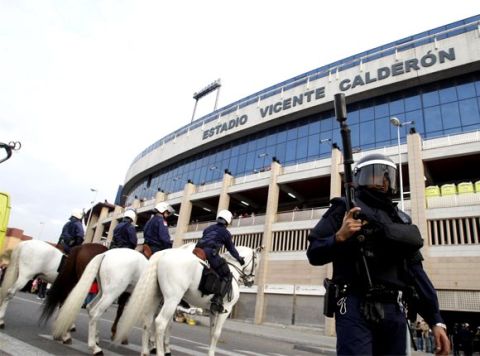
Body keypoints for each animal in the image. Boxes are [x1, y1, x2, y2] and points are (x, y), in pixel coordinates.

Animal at [115, 246, 260, 354]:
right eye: (257, 262)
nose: (251, 282)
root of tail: (164, 253)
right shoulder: (226, 309)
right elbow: (217, 334)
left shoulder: (213, 311)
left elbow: (211, 332)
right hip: (172, 300)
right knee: (160, 323)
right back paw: (160, 351)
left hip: (156, 298)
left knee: (148, 321)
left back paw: (145, 351)